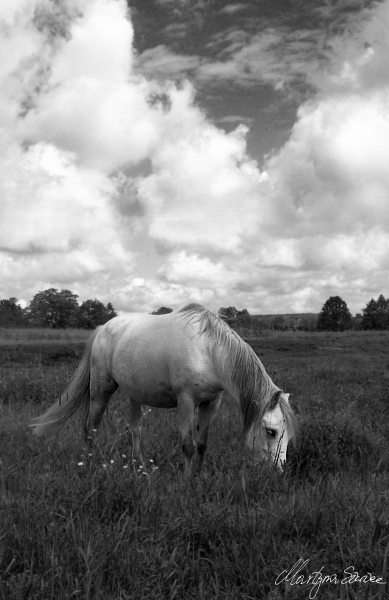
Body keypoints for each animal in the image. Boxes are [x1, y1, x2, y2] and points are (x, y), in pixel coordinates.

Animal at [31, 304, 298, 474]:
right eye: (271, 431)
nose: (279, 471)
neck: (208, 350)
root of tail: (102, 328)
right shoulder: (186, 401)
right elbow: (188, 445)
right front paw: (187, 482)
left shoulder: (212, 403)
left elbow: (202, 444)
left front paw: (199, 477)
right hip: (101, 389)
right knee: (90, 428)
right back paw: (92, 464)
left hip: (134, 395)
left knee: (134, 429)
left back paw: (139, 467)